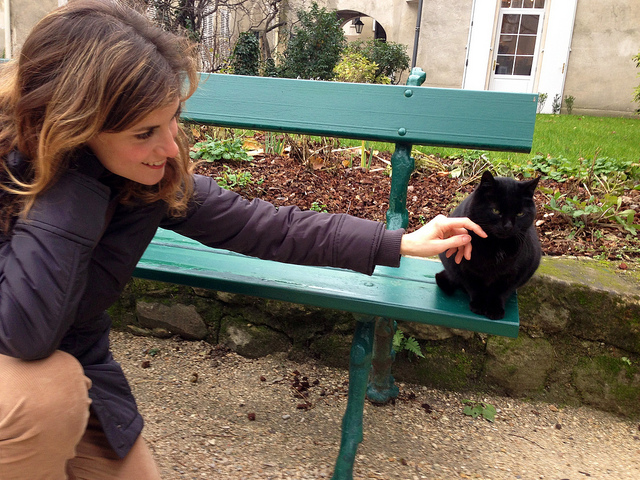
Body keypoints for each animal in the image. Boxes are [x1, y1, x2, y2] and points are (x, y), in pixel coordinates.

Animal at [435, 171, 541, 320]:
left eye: (520, 213)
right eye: (495, 211)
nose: (508, 226)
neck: (496, 245)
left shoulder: (515, 273)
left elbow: (501, 291)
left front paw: (494, 309)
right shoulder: (464, 267)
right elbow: (473, 286)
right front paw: (478, 305)